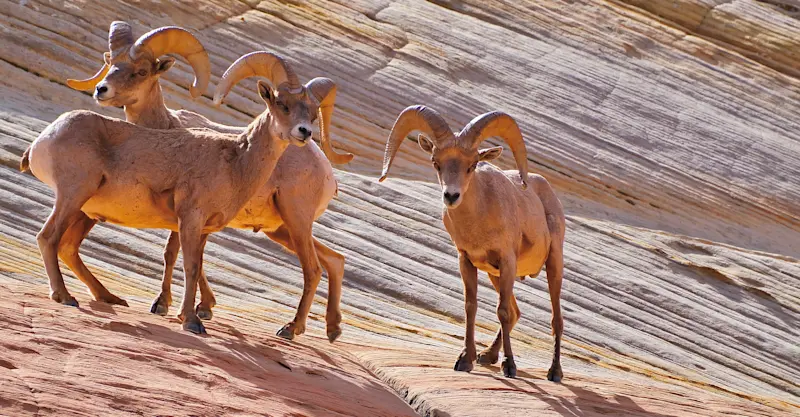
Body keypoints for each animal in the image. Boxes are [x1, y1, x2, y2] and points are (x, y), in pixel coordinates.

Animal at [20, 52, 315, 335]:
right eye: (282, 105)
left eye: (311, 113)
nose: (305, 132)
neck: (236, 161)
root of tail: (43, 139)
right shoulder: (191, 219)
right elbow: (191, 268)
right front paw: (192, 322)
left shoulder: (203, 229)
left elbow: (196, 268)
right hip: (72, 196)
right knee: (48, 238)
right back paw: (65, 296)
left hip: (84, 211)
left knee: (68, 247)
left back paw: (111, 298)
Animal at [66, 22, 353, 342]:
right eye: (111, 63)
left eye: (141, 71)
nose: (101, 90)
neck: (165, 129)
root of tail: (326, 170)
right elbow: (187, 258)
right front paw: (197, 308)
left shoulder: (189, 214)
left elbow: (176, 255)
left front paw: (171, 307)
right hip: (281, 229)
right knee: (335, 261)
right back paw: (333, 329)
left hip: (296, 220)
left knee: (314, 268)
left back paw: (291, 329)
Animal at [378, 105, 565, 381]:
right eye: (436, 163)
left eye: (473, 165)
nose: (451, 196)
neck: (478, 222)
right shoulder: (467, 261)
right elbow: (471, 307)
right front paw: (466, 360)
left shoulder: (507, 261)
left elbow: (502, 311)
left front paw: (510, 367)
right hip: (494, 275)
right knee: (516, 312)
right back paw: (488, 356)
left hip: (553, 264)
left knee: (554, 320)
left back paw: (554, 372)